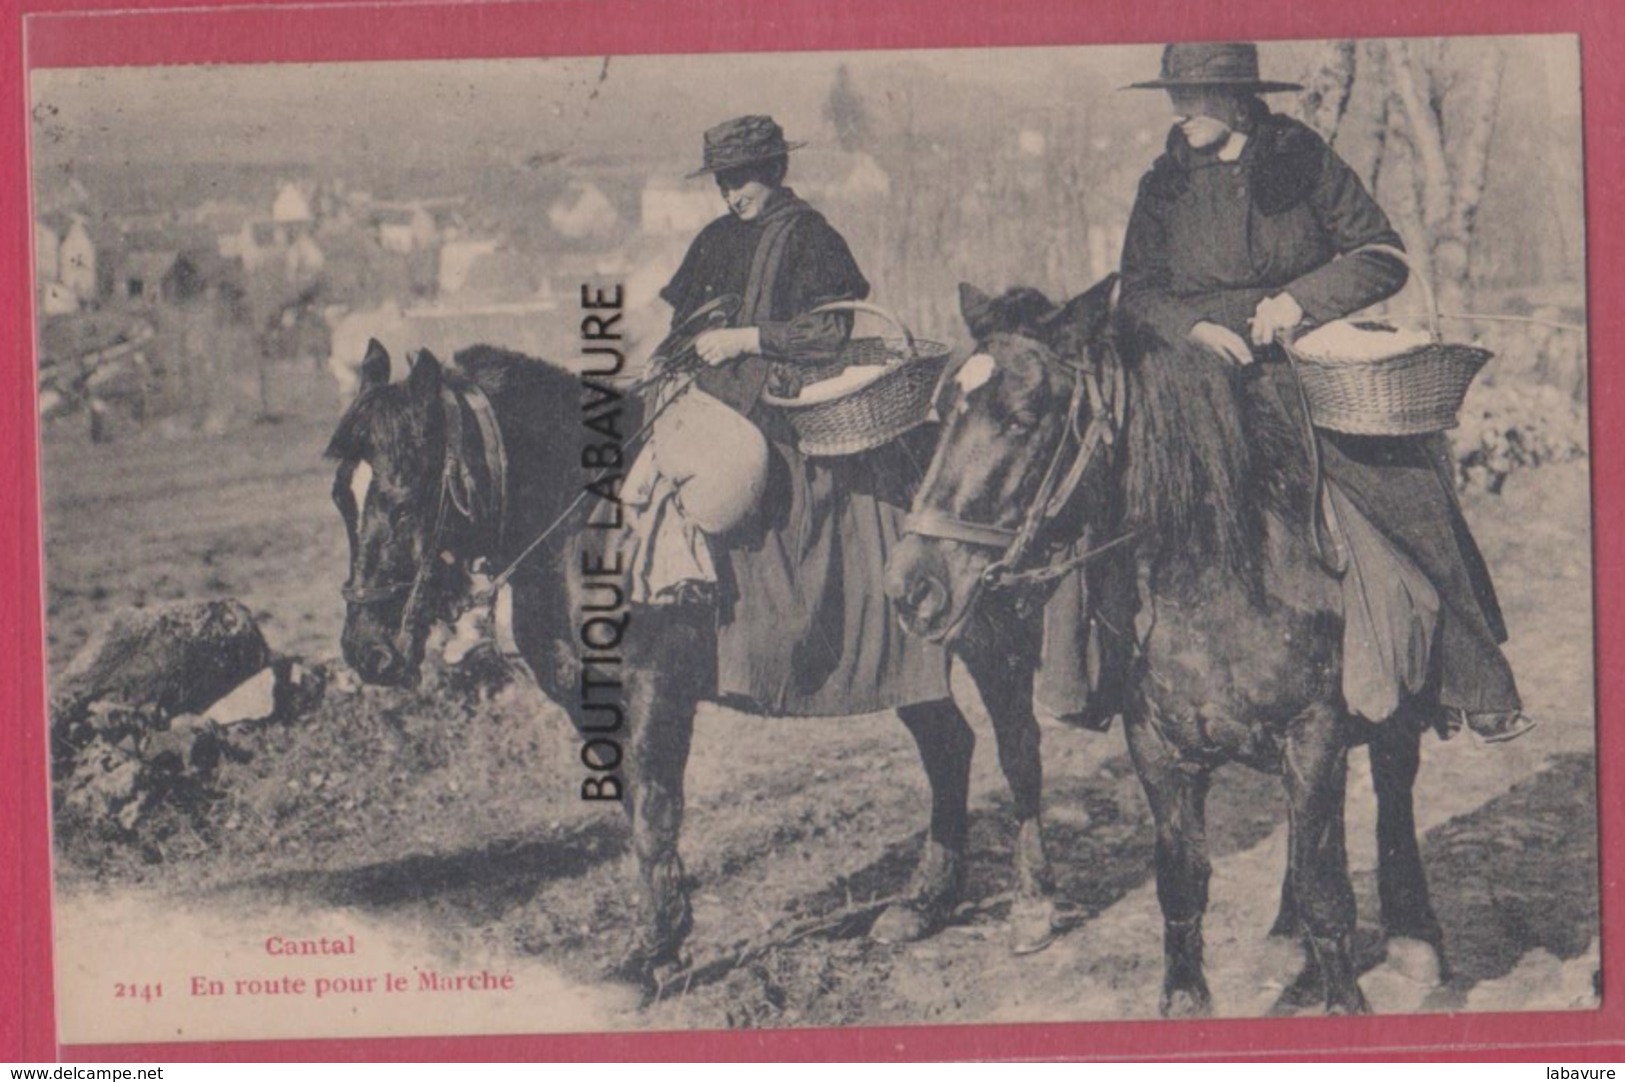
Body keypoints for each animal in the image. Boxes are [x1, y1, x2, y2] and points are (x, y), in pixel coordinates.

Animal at [325, 333, 1072, 974]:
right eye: (341, 499)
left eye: (404, 495)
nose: (367, 652)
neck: (582, 524)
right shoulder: (586, 702)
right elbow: (635, 809)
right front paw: (665, 939)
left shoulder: (656, 689)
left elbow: (656, 809)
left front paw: (651, 954)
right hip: (904, 663)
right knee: (948, 746)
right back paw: (925, 903)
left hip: (988, 639)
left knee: (1017, 746)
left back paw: (1034, 903)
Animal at [890, 276, 1449, 1013]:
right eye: (943, 411)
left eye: (1023, 417)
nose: (910, 587)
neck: (1215, 585)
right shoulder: (1158, 748)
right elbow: (1184, 882)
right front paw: (1187, 996)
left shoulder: (1316, 734)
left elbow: (1326, 889)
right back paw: (1285, 935)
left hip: (1391, 718)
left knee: (1391, 792)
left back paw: (1417, 938)